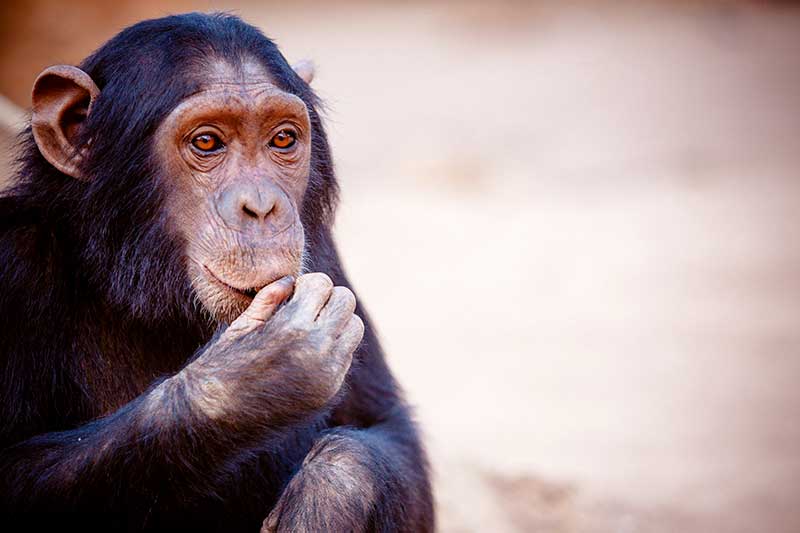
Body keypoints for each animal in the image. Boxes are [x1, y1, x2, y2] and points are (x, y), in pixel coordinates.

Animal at [0, 12, 432, 532]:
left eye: (282, 139)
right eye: (206, 142)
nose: (261, 206)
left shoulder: (325, 255)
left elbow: (386, 428)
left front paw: (328, 497)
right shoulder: (11, 264)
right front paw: (256, 371)